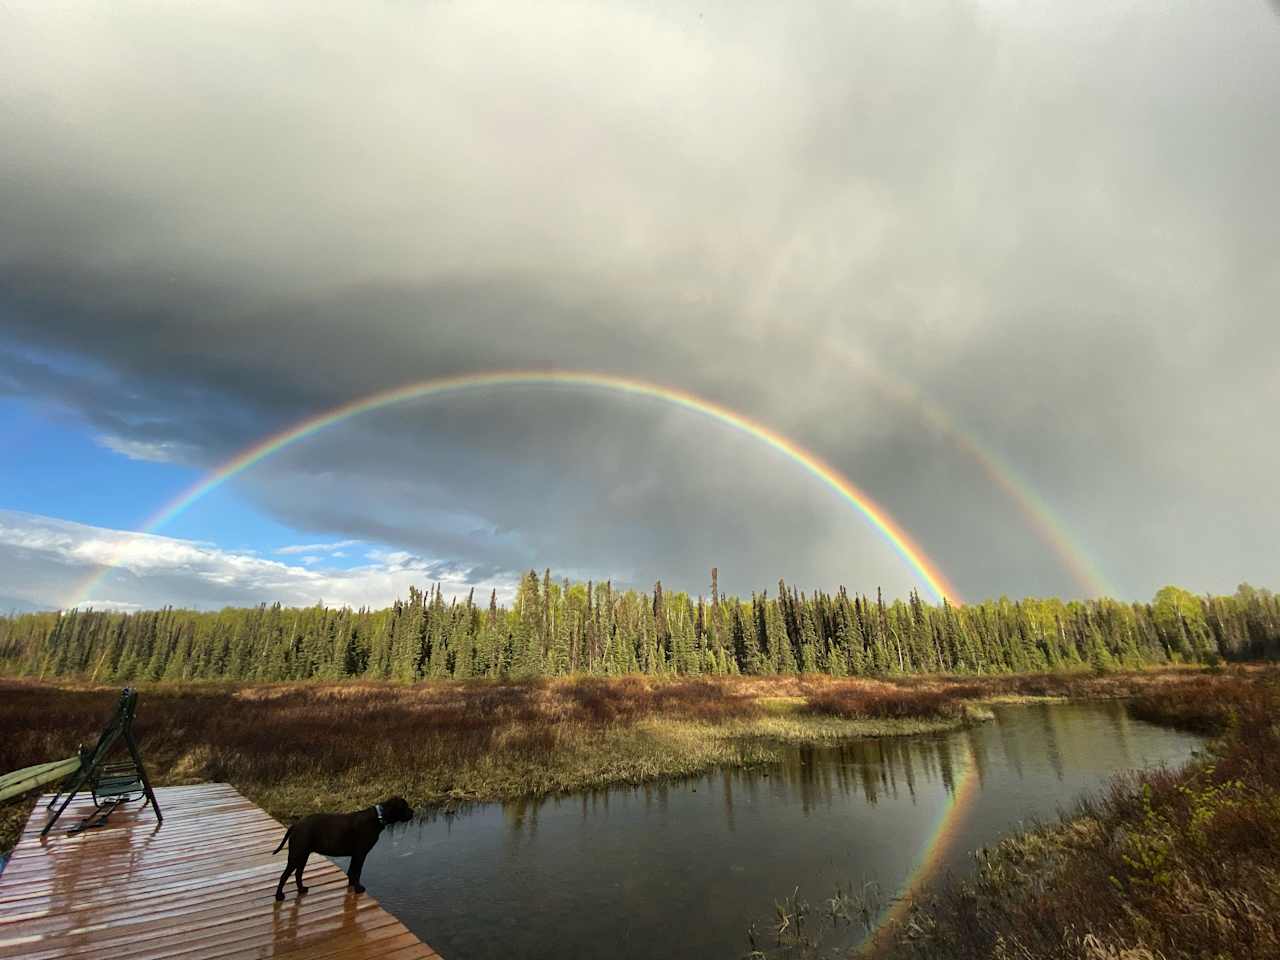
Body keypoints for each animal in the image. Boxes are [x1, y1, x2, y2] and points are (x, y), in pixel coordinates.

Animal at [272, 798, 412, 901]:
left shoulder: (355, 855)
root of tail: (295, 825)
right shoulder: (360, 854)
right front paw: (358, 889)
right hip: (297, 855)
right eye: (405, 807)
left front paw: (351, 886)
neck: (378, 817)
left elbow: (351, 871)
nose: (412, 812)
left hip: (303, 856)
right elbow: (357, 872)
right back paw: (279, 896)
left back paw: (301, 889)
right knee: (284, 876)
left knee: (298, 873)